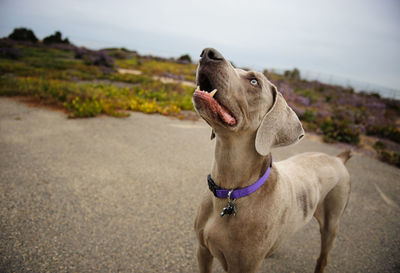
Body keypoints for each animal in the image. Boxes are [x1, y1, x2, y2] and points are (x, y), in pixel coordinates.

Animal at [192, 47, 352, 270]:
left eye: (254, 81)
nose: (207, 53)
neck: (230, 191)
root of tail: (338, 158)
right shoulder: (203, 250)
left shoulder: (244, 266)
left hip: (332, 222)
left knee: (323, 257)